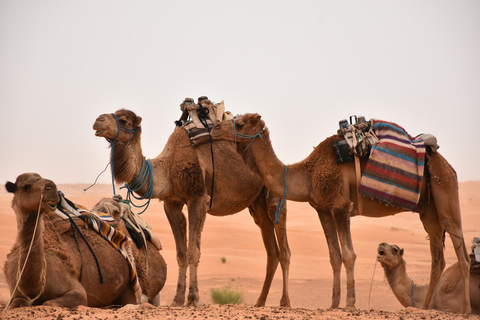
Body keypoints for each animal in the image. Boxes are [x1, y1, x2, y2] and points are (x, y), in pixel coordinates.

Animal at [3, 174, 165, 308]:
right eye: (25, 186)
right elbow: (18, 303)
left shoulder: (77, 291)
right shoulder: (16, 294)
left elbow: (49, 303)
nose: (51, 187)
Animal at [92, 108, 290, 308]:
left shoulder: (198, 198)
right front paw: (178, 299)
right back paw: (260, 301)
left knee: (283, 247)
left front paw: (193, 298)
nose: (98, 120)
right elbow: (181, 253)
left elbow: (193, 251)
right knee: (270, 245)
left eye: (124, 120)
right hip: (256, 202)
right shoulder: (172, 203)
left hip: (275, 193)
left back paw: (285, 302)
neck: (168, 166)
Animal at [212, 113, 470, 312]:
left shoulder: (340, 207)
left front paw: (350, 303)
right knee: (437, 256)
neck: (308, 174)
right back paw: (424, 308)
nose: (214, 128)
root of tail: (447, 165)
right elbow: (334, 256)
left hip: (446, 192)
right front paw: (333, 303)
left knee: (461, 250)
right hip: (427, 210)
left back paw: (466, 309)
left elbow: (348, 254)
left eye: (240, 123)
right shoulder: (323, 210)